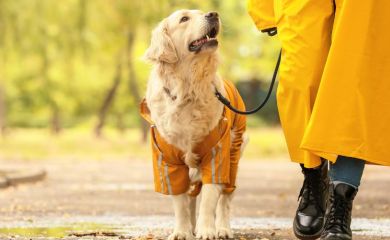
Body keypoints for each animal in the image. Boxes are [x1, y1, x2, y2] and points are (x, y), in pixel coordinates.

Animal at [142, 9, 247, 240]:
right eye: (184, 19)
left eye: (201, 13)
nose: (213, 14)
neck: (188, 89)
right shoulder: (168, 160)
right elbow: (180, 203)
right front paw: (182, 231)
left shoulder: (217, 153)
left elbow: (209, 199)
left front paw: (207, 230)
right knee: (191, 196)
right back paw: (191, 227)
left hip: (234, 155)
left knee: (225, 198)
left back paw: (222, 228)